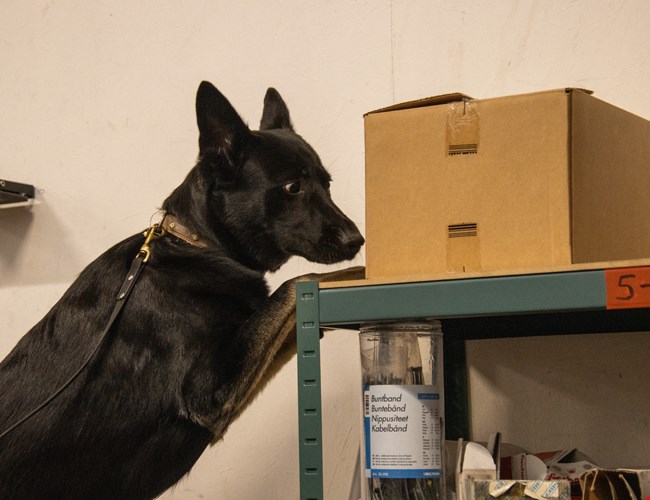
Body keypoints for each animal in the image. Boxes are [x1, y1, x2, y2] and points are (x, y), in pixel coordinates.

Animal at [0, 81, 364, 499]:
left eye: (327, 184)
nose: (357, 240)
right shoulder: (209, 395)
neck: (197, 244)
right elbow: (297, 283)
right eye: (293, 187)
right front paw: (362, 269)